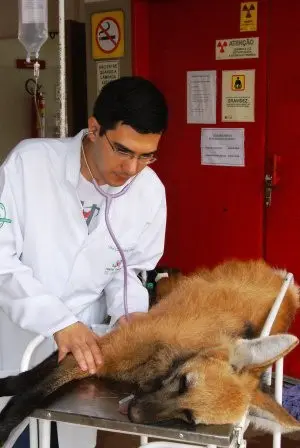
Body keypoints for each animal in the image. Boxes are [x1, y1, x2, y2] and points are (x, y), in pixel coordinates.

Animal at [0, 258, 300, 442]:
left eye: (189, 418)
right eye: (184, 382)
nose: (135, 414)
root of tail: (287, 285)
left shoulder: (102, 356)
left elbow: (39, 382)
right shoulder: (103, 349)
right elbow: (32, 387)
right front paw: (7, 396)